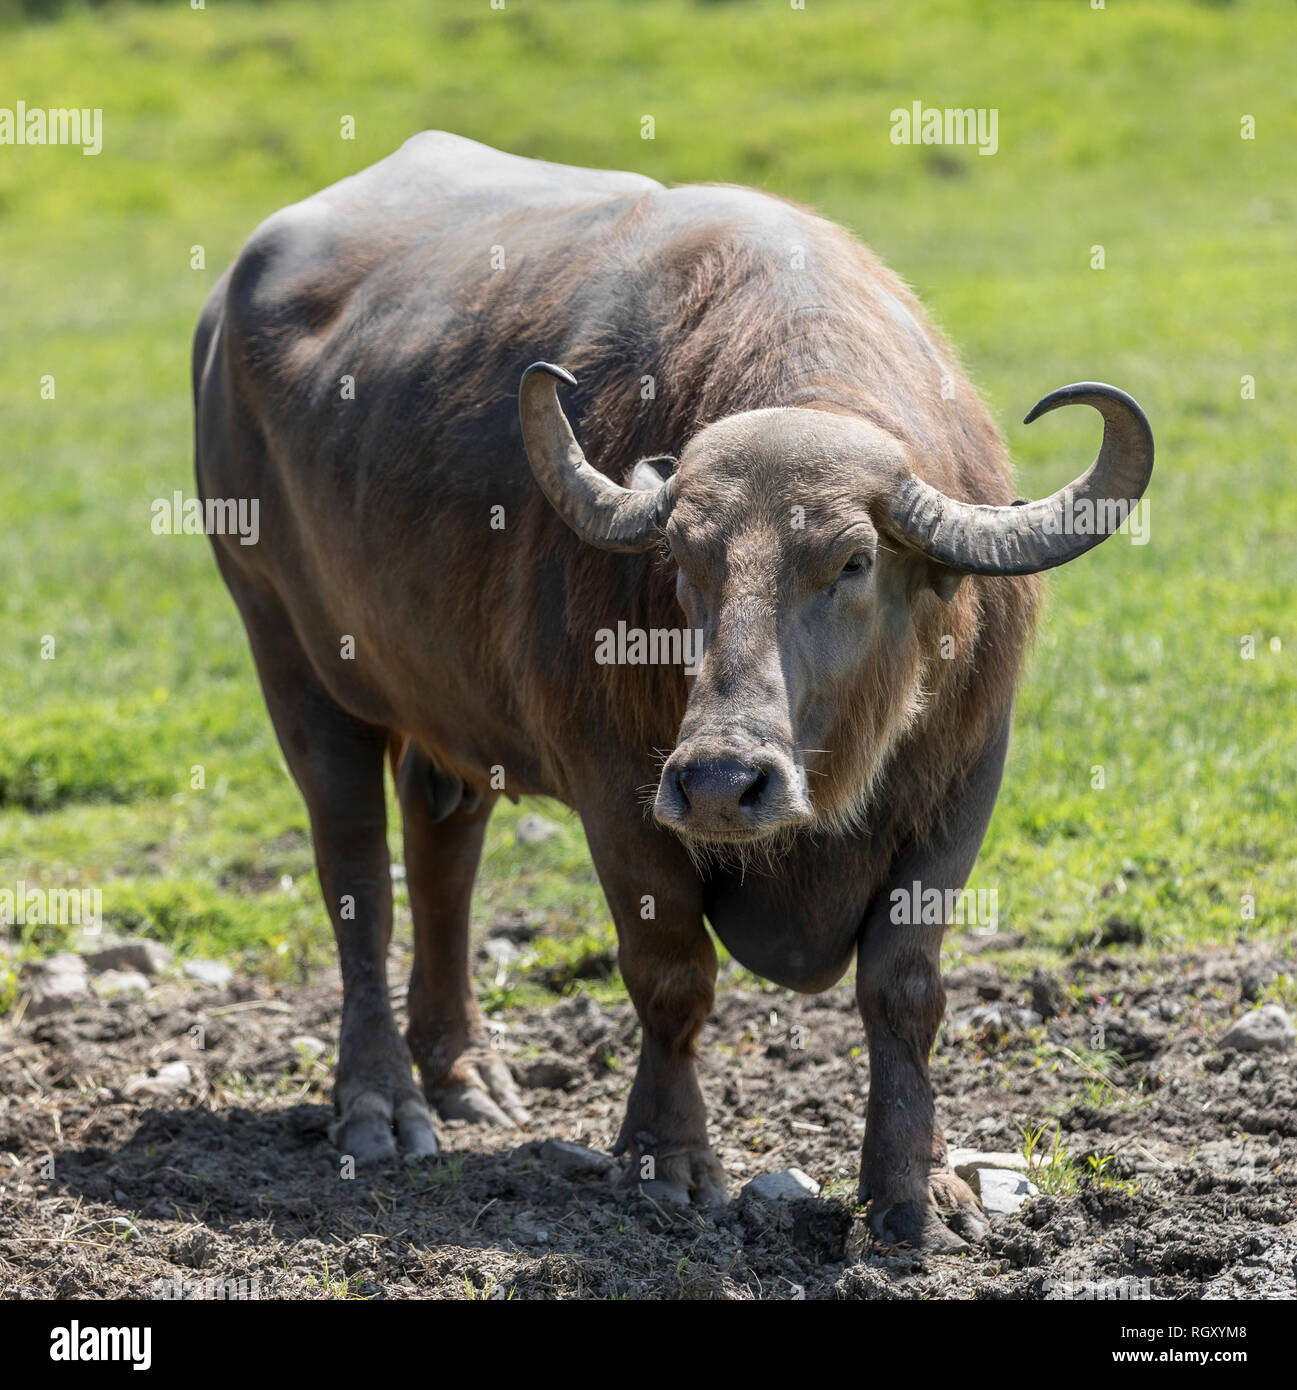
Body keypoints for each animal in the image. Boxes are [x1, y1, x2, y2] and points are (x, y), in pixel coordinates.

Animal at [190, 135, 1145, 1256]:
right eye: (685, 562)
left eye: (854, 560)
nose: (724, 782)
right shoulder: (618, 786)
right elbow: (669, 969)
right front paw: (668, 1160)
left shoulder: (964, 775)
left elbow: (904, 985)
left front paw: (916, 1187)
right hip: (287, 648)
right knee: (356, 878)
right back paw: (384, 1105)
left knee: (441, 844)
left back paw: (468, 1071)